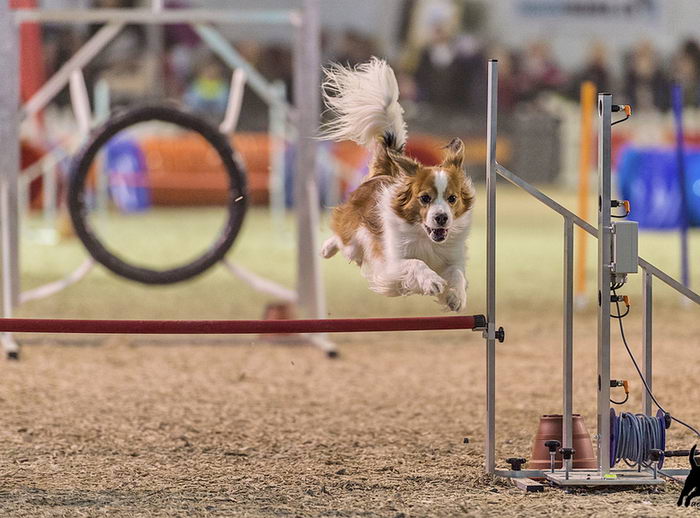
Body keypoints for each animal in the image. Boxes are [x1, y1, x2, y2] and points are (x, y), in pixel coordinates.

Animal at [318, 59, 476, 314]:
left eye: (452, 198)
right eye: (424, 198)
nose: (442, 218)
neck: (424, 236)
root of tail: (382, 173)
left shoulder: (452, 257)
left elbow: (457, 273)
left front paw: (456, 297)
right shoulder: (389, 265)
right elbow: (415, 263)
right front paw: (432, 281)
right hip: (355, 241)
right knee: (343, 241)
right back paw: (326, 248)